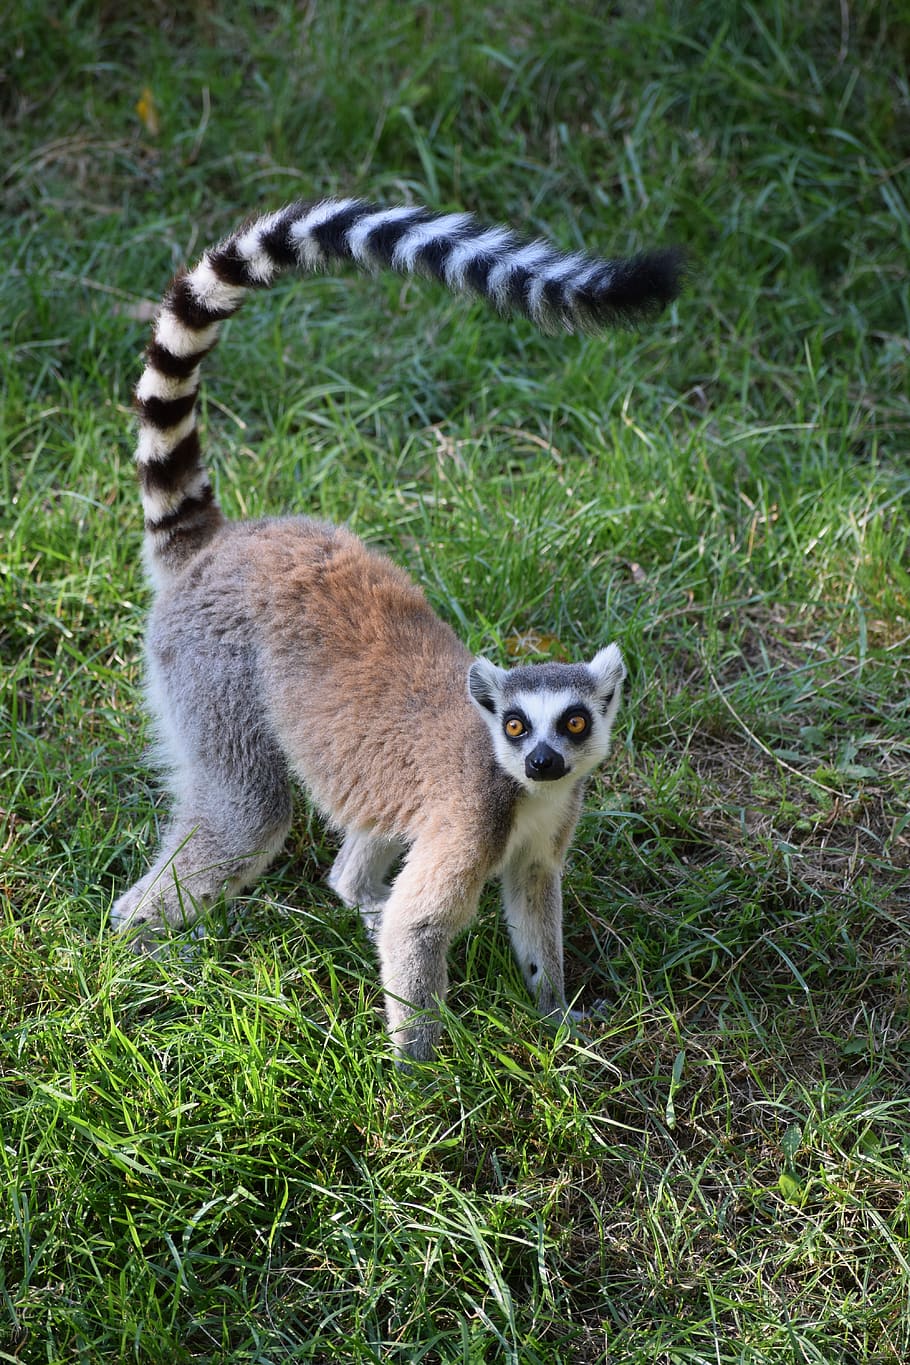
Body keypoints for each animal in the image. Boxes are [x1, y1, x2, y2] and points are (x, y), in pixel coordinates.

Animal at [111, 196, 683, 1060]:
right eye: (517, 726)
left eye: (576, 721)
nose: (545, 759)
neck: (523, 791)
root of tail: (220, 542)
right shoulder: (473, 815)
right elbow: (419, 927)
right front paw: (423, 1076)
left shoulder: (548, 826)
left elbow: (533, 900)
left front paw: (557, 1018)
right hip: (209, 666)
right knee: (247, 810)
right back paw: (137, 943)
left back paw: (353, 892)